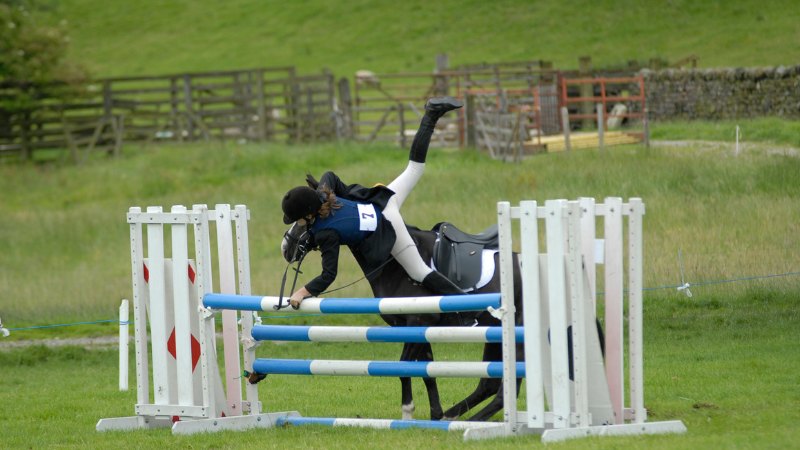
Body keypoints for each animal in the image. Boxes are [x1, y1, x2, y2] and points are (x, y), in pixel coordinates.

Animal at [281, 220, 524, 422]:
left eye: (303, 221)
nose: (285, 246)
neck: (394, 262)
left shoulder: (418, 321)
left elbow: (403, 367)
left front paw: (408, 411)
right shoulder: (414, 327)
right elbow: (426, 372)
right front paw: (436, 415)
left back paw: (472, 421)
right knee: (489, 383)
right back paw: (453, 416)